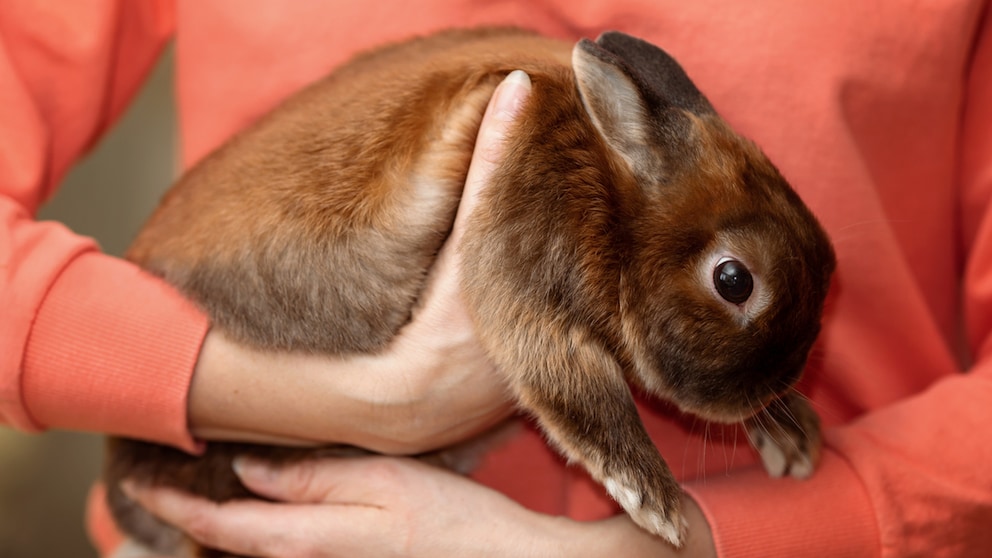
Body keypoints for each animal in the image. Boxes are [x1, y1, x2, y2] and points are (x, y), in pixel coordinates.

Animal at [104, 25, 836, 556]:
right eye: (734, 280)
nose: (775, 383)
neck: (608, 177)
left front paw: (792, 435)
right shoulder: (525, 223)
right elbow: (572, 377)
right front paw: (653, 499)